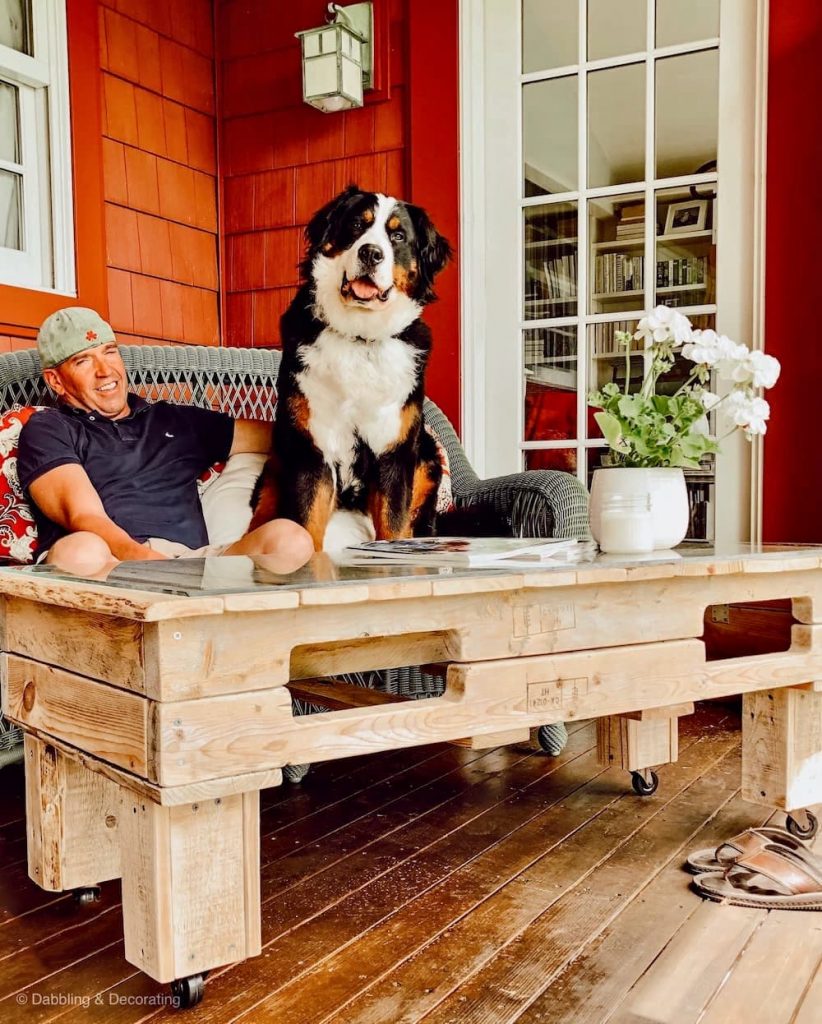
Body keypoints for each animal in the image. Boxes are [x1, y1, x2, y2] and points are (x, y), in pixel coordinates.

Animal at [252, 186, 456, 552]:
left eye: (398, 236)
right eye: (357, 226)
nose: (371, 253)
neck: (360, 338)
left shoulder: (394, 452)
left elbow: (394, 527)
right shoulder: (313, 447)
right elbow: (307, 527)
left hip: (426, 458)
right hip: (278, 461)